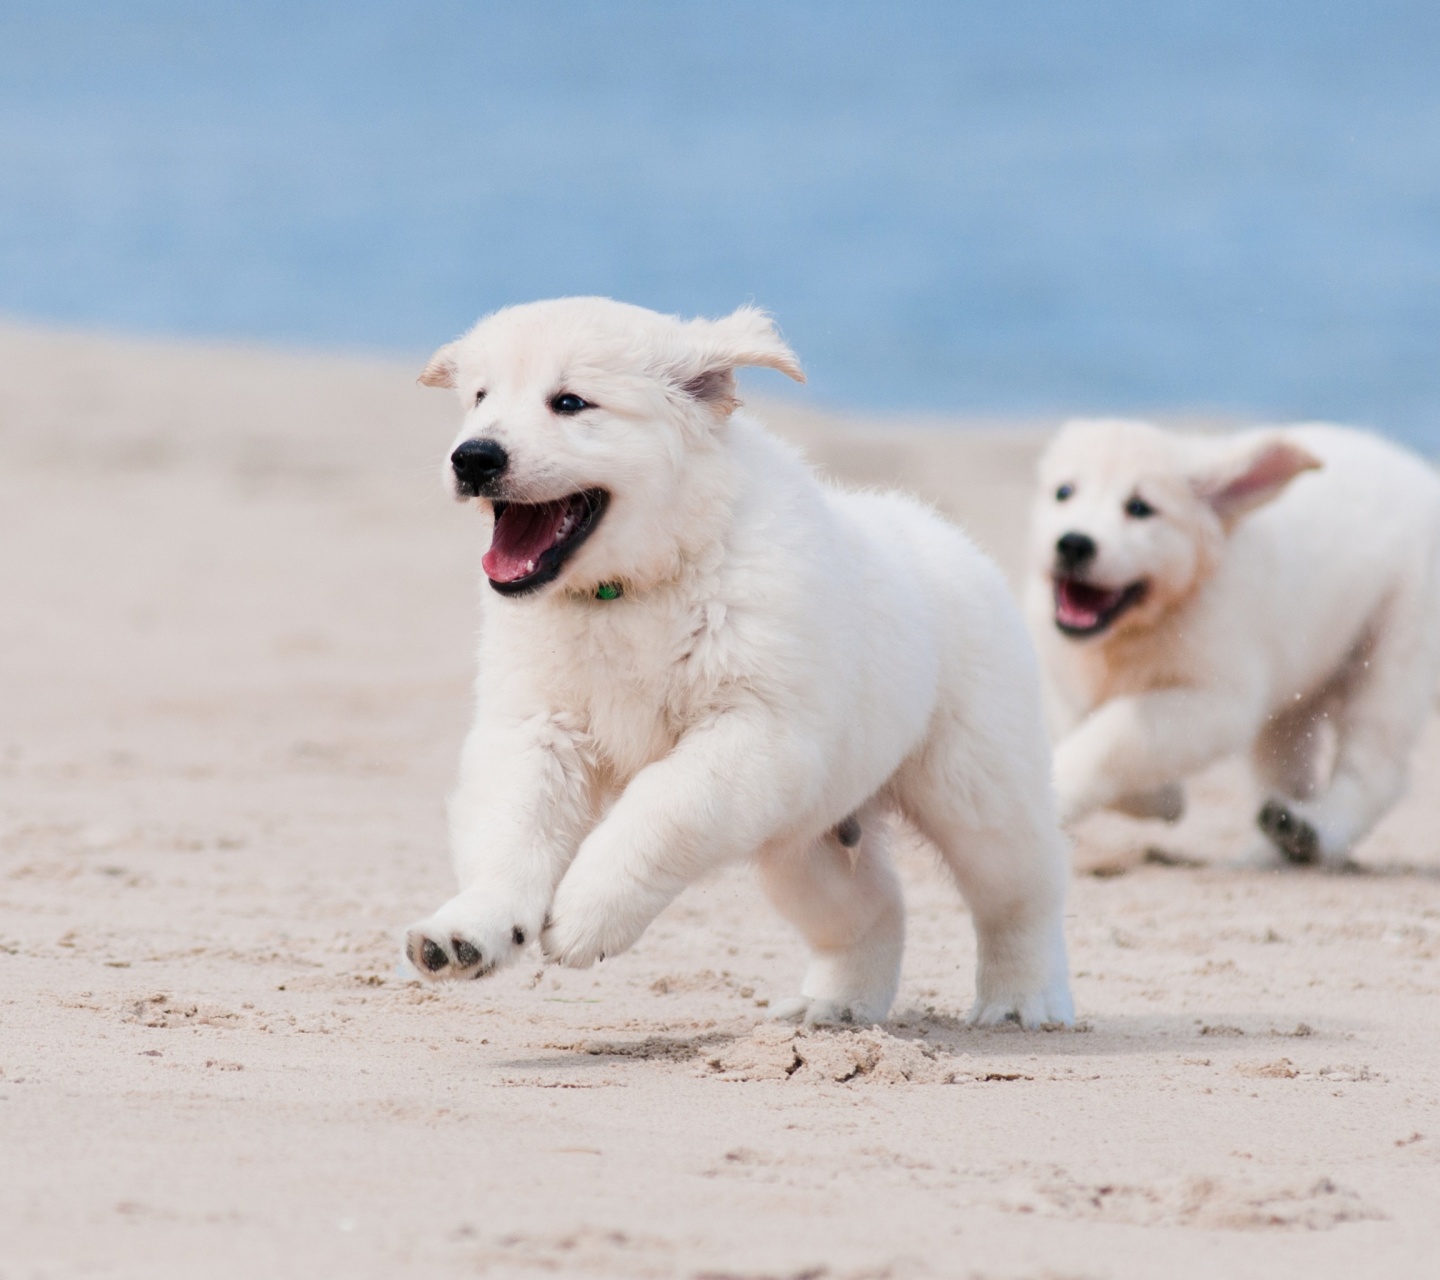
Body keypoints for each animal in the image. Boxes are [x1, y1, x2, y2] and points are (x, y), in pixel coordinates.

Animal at [403, 295, 1071, 1025]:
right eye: (479, 398)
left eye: (571, 402)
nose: (472, 458)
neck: (630, 591)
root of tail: (950, 537)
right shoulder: (536, 726)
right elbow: (512, 825)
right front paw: (469, 929)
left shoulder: (756, 729)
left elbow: (662, 807)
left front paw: (586, 913)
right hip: (805, 839)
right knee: (872, 909)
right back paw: (834, 1009)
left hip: (975, 786)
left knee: (1022, 891)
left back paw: (1022, 1000)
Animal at [1025, 420, 1440, 869]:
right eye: (1064, 492)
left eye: (1139, 508)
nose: (1073, 543)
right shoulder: (1060, 675)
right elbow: (1078, 725)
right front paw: (1161, 800)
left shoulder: (1218, 699)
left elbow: (1110, 737)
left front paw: (1067, 793)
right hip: (1296, 691)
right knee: (1289, 768)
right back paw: (1273, 847)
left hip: (1398, 645)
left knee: (1375, 767)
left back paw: (1316, 831)